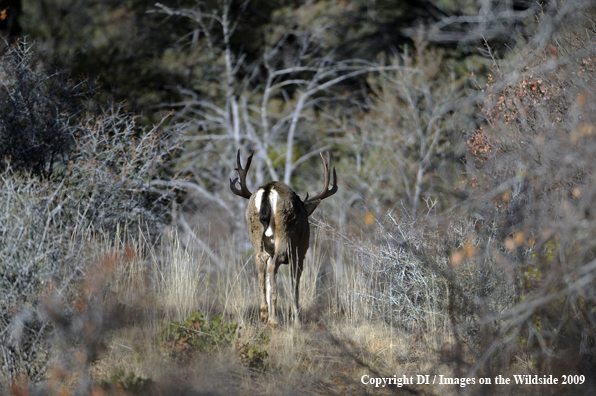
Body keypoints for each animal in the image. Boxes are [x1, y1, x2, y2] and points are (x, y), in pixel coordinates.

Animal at [230, 150, 338, 326]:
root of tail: (268, 190)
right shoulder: (301, 250)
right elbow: (295, 284)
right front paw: (297, 319)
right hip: (285, 235)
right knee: (273, 266)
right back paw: (274, 320)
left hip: (255, 231)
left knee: (260, 260)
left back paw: (264, 314)